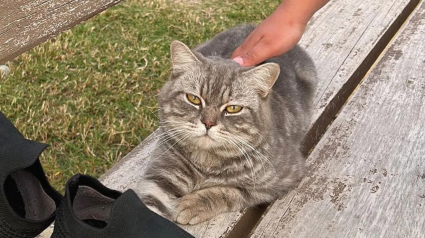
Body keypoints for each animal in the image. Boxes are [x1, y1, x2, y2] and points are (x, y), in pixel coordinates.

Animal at [137, 24, 316, 225]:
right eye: (193, 99)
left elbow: (231, 192)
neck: (206, 162)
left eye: (233, 108)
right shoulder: (161, 174)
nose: (208, 123)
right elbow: (148, 206)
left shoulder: (283, 178)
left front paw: (194, 204)